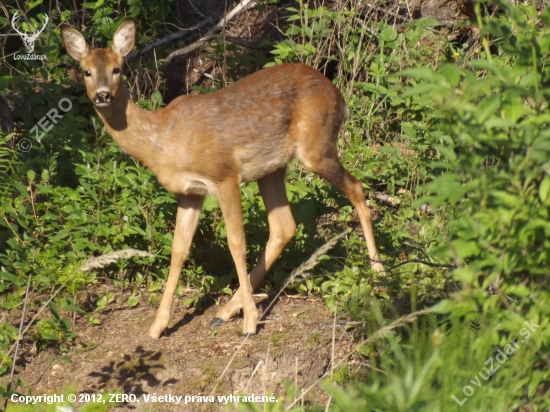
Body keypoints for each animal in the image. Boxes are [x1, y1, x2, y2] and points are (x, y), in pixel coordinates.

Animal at [61, 18, 388, 338]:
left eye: (117, 68)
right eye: (87, 71)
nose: (103, 95)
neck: (163, 141)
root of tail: (338, 95)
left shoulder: (224, 175)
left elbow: (236, 243)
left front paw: (251, 322)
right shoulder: (189, 193)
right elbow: (178, 250)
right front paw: (157, 326)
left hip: (316, 147)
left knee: (357, 188)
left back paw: (379, 274)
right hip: (272, 169)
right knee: (284, 227)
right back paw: (226, 311)